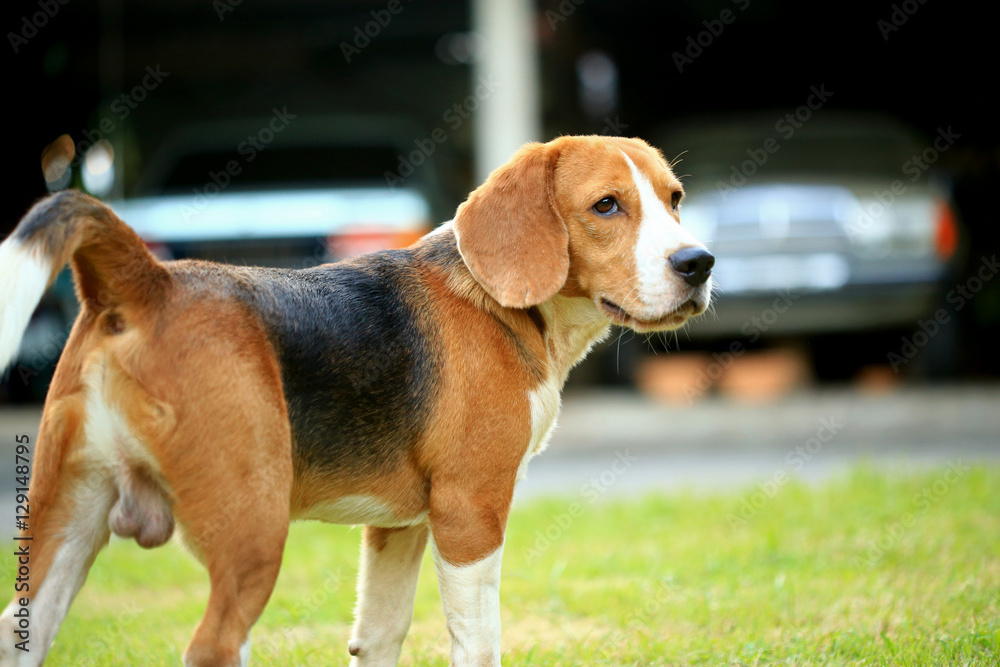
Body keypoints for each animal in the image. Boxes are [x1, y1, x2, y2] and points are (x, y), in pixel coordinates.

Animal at [0, 136, 712, 667]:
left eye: (675, 199)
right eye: (606, 206)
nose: (698, 263)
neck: (500, 303)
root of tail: (146, 280)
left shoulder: (400, 525)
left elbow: (379, 635)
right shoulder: (470, 511)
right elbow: (478, 642)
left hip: (67, 522)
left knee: (21, 633)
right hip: (253, 532)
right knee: (213, 646)